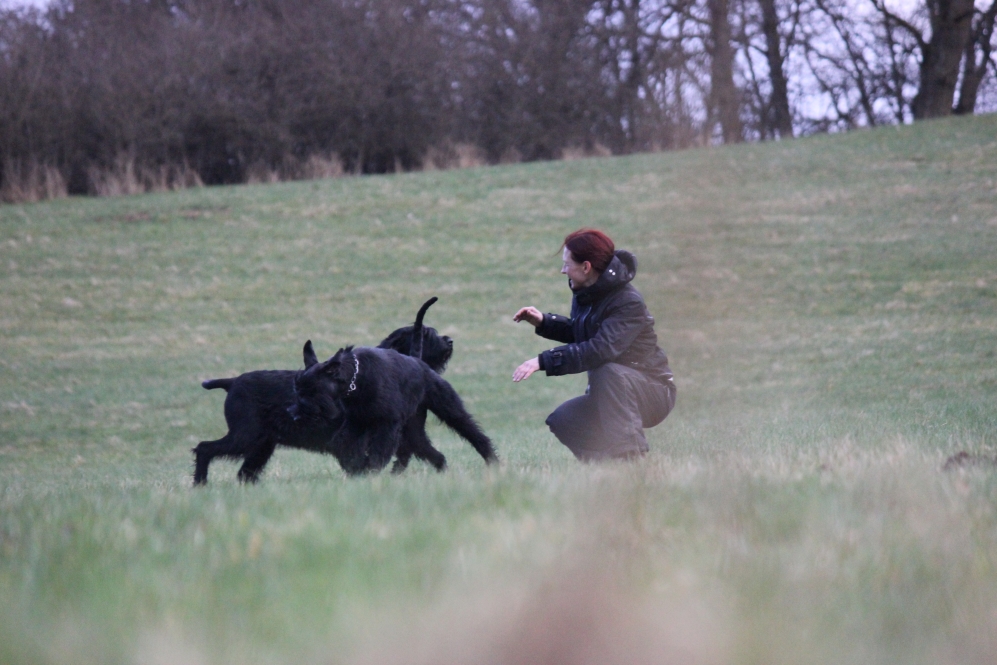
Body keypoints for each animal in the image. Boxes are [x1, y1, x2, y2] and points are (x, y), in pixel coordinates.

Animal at [193, 340, 340, 486]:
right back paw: (200, 483)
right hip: (245, 437)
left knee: (244, 473)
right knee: (204, 448)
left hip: (261, 445)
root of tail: (232, 382)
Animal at [292, 344, 502, 474]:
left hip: (450, 410)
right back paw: (439, 469)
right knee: (429, 450)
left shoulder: (387, 424)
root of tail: (421, 364)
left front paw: (369, 470)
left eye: (312, 392)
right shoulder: (356, 422)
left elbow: (378, 452)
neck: (356, 381)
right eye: (298, 389)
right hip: (414, 429)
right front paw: (356, 468)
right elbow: (344, 445)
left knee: (473, 433)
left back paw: (493, 461)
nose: (294, 415)